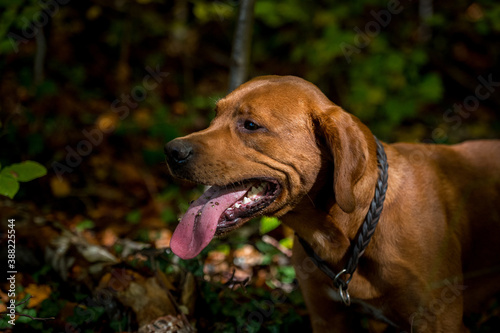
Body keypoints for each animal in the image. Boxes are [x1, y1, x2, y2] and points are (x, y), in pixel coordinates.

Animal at [164, 75, 500, 332]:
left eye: (250, 125)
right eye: (214, 115)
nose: (172, 151)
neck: (349, 231)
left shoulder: (439, 320)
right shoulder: (326, 317)